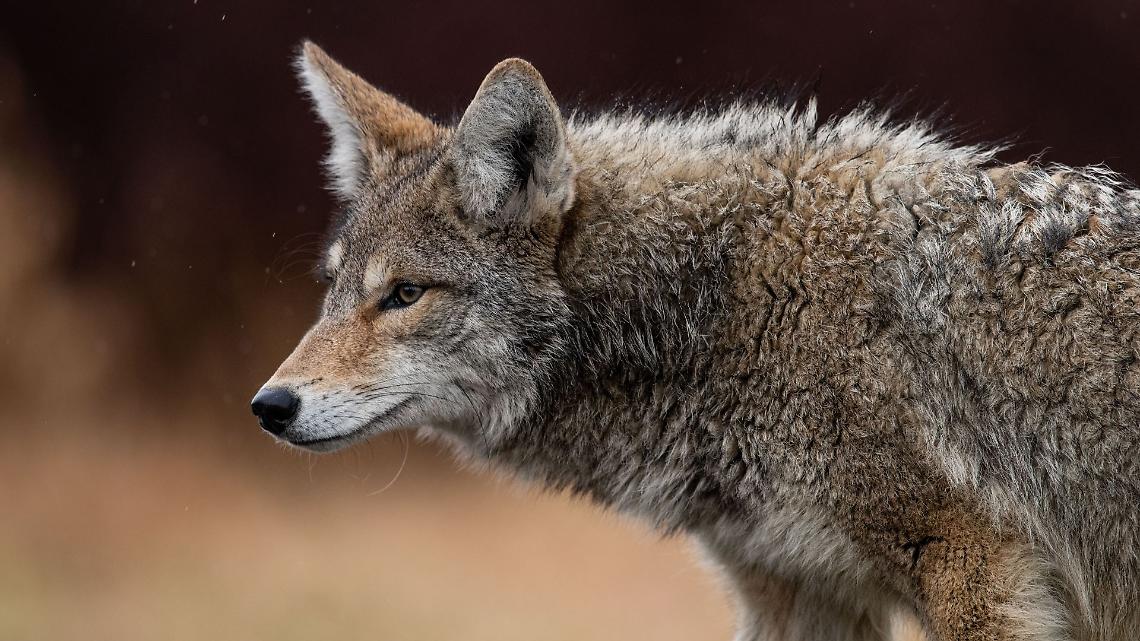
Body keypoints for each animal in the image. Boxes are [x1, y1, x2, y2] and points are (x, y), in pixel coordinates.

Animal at [252, 41, 1140, 641]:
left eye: (404, 294)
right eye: (332, 288)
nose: (269, 404)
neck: (721, 305)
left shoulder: (976, 565)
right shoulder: (796, 590)